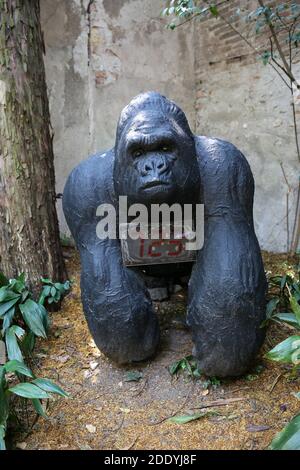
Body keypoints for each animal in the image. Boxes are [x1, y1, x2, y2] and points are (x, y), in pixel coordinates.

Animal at [62, 92, 266, 378]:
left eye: (166, 148)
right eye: (137, 153)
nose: (153, 166)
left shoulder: (226, 166)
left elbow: (231, 273)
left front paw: (217, 350)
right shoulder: (84, 185)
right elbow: (109, 285)